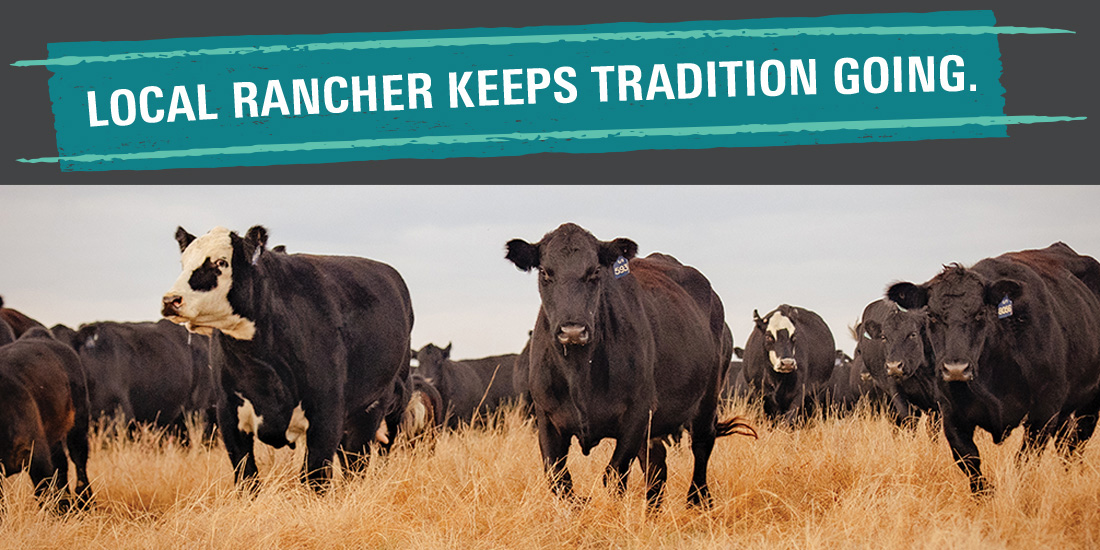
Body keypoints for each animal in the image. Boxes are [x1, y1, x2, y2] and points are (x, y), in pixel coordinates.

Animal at [0, 328, 92, 511]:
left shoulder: (36, 455)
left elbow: (46, 494)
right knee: (62, 464)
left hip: (78, 426)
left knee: (79, 461)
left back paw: (84, 503)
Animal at [161, 225, 414, 491]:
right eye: (183, 262)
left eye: (221, 262)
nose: (171, 300)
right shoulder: (228, 413)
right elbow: (247, 476)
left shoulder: (326, 412)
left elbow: (315, 477)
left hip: (375, 409)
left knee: (357, 465)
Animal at [505, 223, 755, 509]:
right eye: (546, 272)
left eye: (594, 272)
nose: (573, 330)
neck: (580, 373)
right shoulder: (547, 419)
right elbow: (560, 480)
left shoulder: (637, 414)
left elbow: (614, 474)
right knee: (657, 465)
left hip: (708, 398)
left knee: (701, 447)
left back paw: (698, 502)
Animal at [887, 242, 1100, 494]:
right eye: (931, 314)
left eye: (980, 312)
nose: (956, 369)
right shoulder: (951, 415)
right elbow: (971, 465)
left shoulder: (1045, 412)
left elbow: (1024, 462)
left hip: (1090, 403)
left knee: (1076, 444)